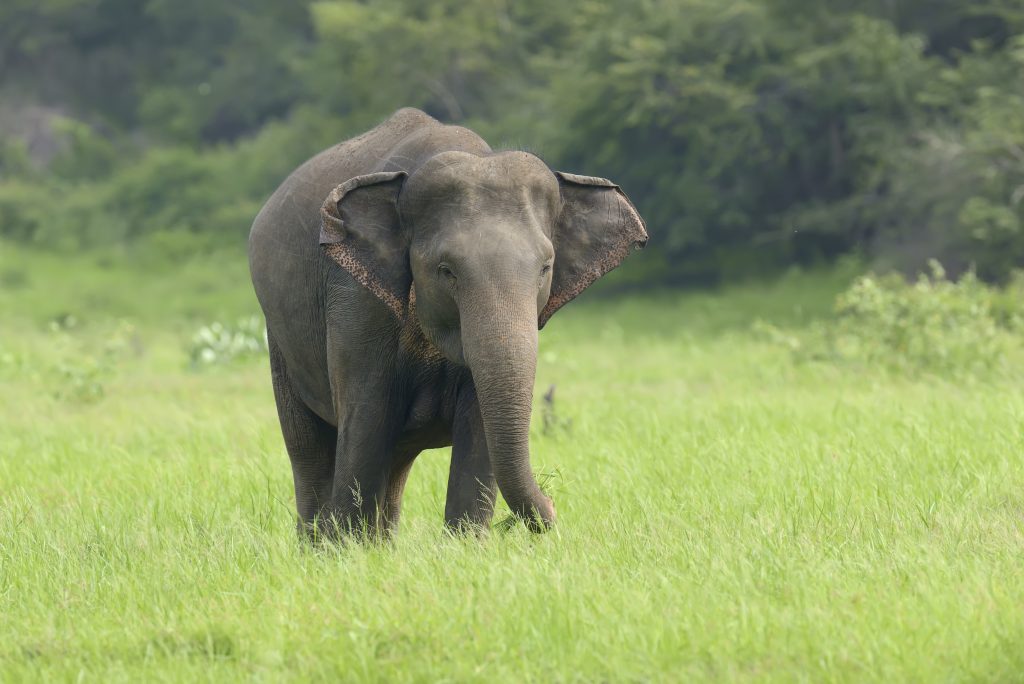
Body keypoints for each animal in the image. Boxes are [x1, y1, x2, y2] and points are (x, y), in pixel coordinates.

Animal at [248, 107, 647, 537]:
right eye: (446, 270)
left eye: (545, 268)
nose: (553, 506)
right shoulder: (356, 300)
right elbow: (366, 421)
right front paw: (347, 546)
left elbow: (479, 429)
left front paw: (465, 543)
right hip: (279, 340)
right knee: (310, 451)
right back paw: (320, 541)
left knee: (395, 461)